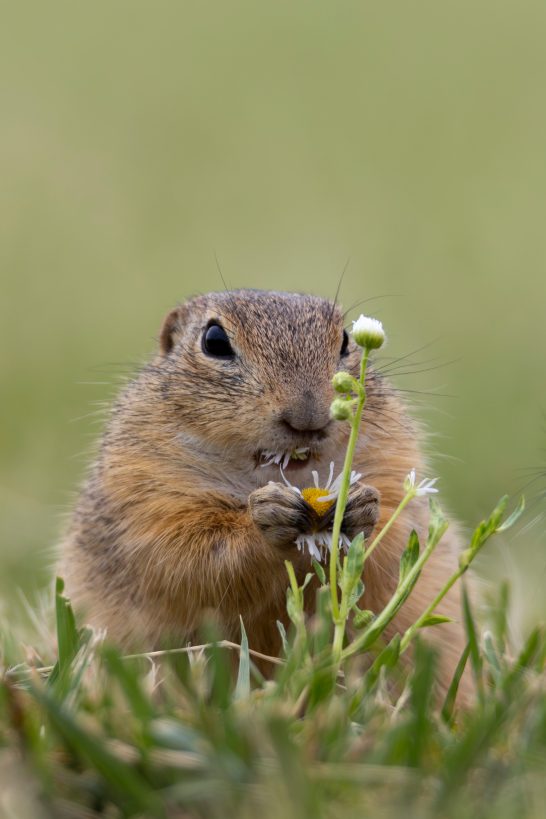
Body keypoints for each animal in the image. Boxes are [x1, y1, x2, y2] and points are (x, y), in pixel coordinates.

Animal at [60, 292, 468, 688]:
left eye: (345, 340)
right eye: (214, 341)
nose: (307, 416)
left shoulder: (394, 465)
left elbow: (396, 540)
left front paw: (362, 507)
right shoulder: (142, 493)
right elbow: (184, 554)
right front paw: (268, 517)